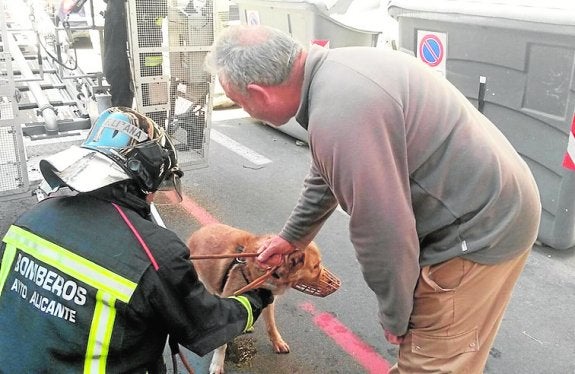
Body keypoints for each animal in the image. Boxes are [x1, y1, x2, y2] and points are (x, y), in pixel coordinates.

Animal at [188, 224, 326, 372]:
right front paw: (217, 363)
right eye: (315, 266)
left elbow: (271, 326)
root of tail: (198, 232)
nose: (334, 285)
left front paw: (277, 342)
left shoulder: (268, 301)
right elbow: (222, 344)